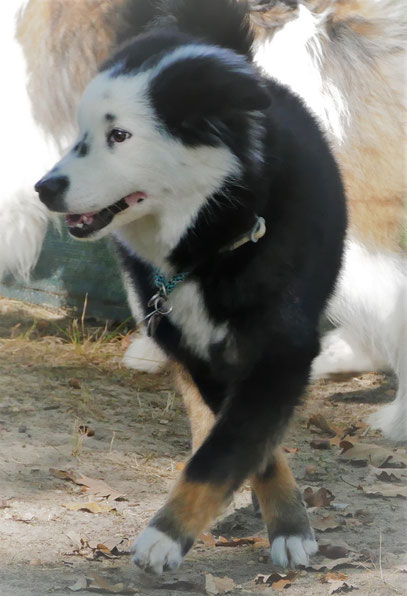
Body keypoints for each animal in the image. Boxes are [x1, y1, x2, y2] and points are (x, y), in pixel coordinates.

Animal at [35, 0, 348, 576]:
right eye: (80, 133)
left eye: (120, 136)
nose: (44, 188)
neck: (213, 240)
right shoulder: (199, 351)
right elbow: (240, 443)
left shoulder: (282, 351)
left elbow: (229, 449)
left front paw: (166, 535)